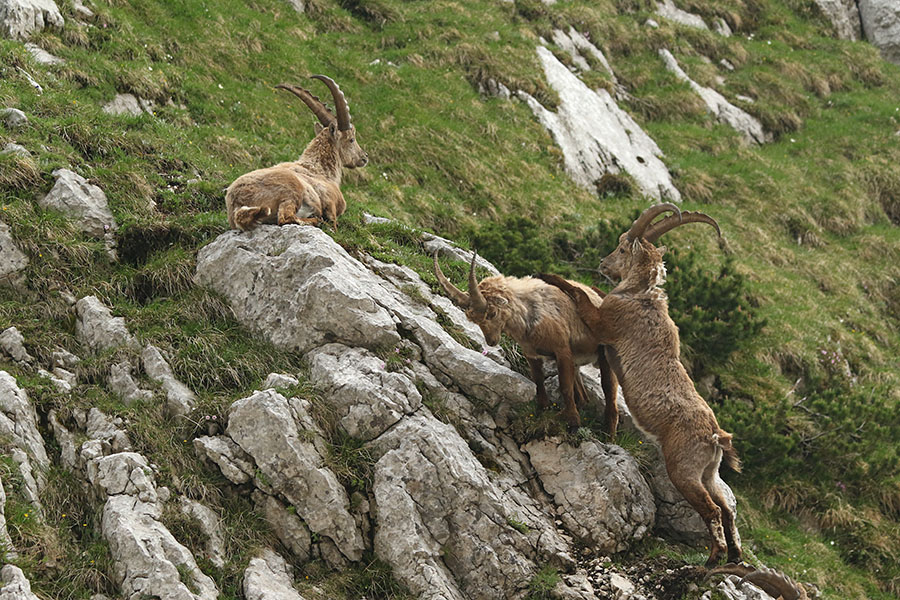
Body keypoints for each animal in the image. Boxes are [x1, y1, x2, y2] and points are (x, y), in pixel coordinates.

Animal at [225, 75, 368, 231]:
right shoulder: (329, 201)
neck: (321, 170)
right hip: (292, 190)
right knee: (285, 218)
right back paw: (316, 221)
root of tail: (237, 203)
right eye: (351, 139)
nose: (364, 157)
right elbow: (333, 222)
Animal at [434, 252, 618, 435]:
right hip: (577, 362)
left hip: (604, 356)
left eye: (492, 313)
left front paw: (573, 423)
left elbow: (565, 387)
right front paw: (543, 411)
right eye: (476, 321)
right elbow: (538, 381)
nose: (491, 341)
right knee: (584, 397)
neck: (530, 317)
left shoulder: (562, 350)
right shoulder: (532, 355)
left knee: (609, 393)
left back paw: (609, 434)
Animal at [539, 227, 742, 567]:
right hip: (709, 473)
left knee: (712, 509)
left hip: (684, 470)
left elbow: (579, 295)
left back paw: (714, 558)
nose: (603, 264)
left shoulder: (605, 322)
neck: (639, 296)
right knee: (726, 508)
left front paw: (549, 275)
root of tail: (716, 436)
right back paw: (736, 556)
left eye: (622, 248)